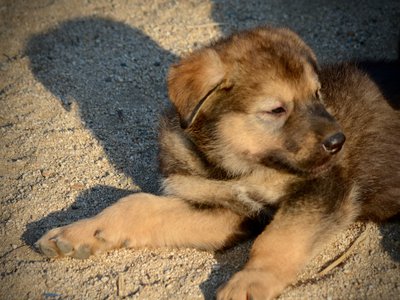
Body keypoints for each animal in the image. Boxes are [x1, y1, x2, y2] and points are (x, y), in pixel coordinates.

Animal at [35, 27, 400, 298]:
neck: (234, 167)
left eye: (317, 94)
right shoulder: (227, 211)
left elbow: (278, 238)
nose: (338, 142)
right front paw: (82, 232)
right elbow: (138, 204)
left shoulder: (324, 188)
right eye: (276, 110)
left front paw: (250, 282)